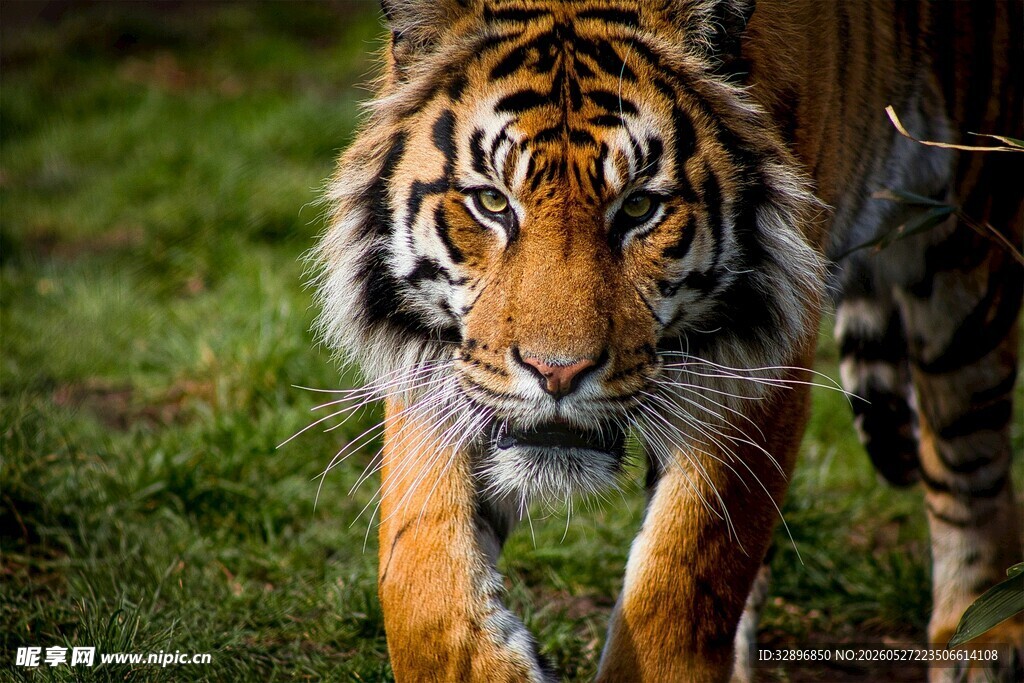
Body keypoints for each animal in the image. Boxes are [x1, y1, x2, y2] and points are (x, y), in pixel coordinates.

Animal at [311, 0, 1023, 681]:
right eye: (491, 202)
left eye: (637, 208)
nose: (556, 372)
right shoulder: (444, 371)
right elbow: (420, 581)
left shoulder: (754, 365)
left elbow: (681, 580)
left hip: (965, 248)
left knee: (970, 462)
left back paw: (978, 640)